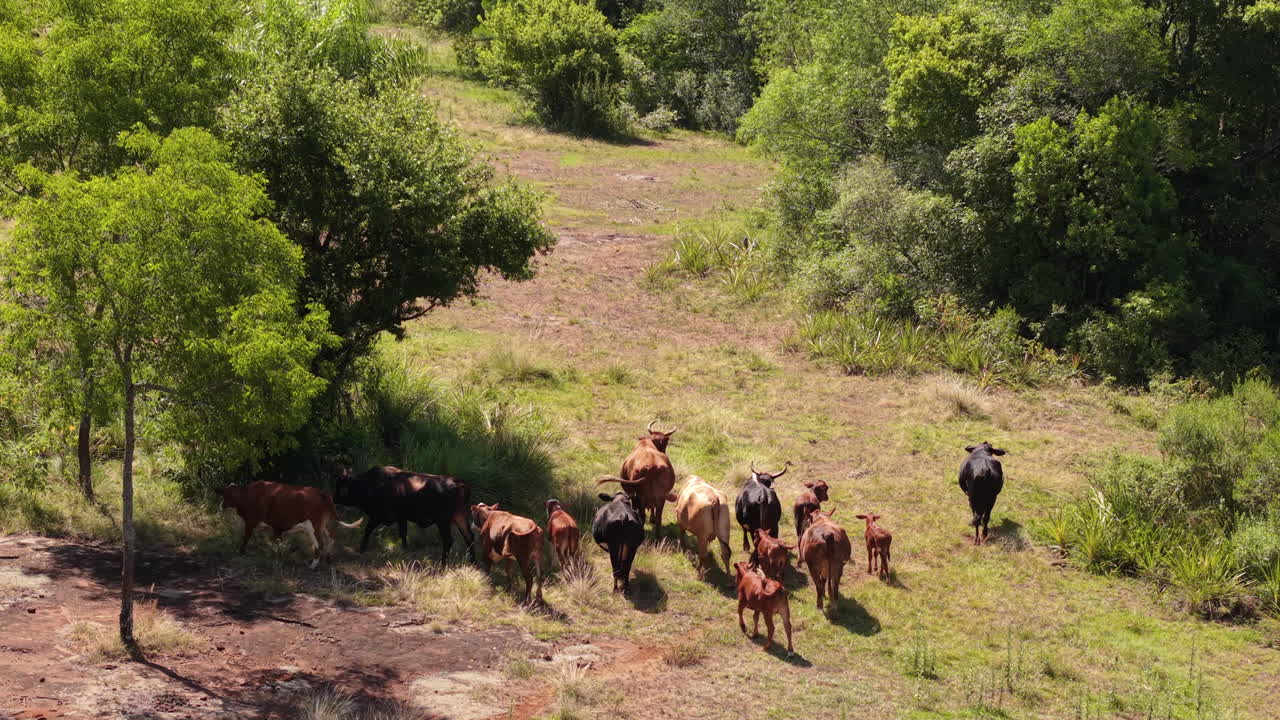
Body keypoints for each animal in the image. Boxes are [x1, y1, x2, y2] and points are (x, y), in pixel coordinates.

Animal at [221, 481, 363, 569]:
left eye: (226, 495)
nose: (221, 505)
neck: (248, 495)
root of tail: (321, 492)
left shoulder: (251, 521)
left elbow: (246, 537)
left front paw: (241, 552)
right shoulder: (276, 526)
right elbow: (276, 542)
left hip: (313, 527)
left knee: (319, 544)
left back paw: (313, 566)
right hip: (324, 525)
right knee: (330, 539)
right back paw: (328, 559)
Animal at [334, 466, 473, 564]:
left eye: (339, 485)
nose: (334, 499)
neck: (369, 484)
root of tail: (459, 482)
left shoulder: (378, 516)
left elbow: (367, 529)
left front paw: (361, 549)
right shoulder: (401, 517)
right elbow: (403, 534)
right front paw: (405, 552)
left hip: (443, 521)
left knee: (448, 540)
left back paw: (443, 566)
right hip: (460, 517)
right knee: (469, 537)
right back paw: (474, 564)